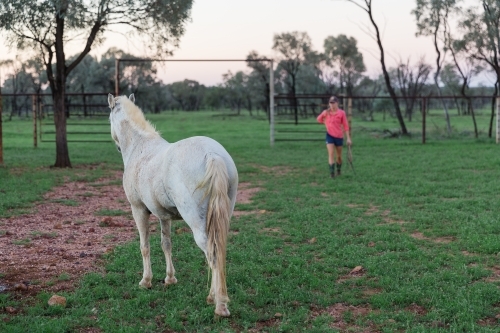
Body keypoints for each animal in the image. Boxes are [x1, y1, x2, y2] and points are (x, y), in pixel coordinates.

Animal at [107, 92, 238, 316]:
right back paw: (214, 297)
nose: (115, 145)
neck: (140, 146)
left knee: (211, 253)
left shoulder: (138, 210)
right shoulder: (163, 215)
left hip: (196, 222)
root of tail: (212, 155)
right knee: (218, 251)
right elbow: (166, 244)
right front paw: (170, 278)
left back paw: (219, 304)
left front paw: (146, 281)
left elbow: (145, 246)